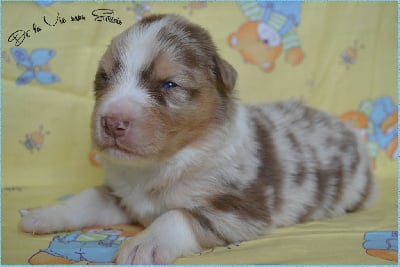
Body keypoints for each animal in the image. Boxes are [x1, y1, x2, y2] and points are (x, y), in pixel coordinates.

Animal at [19, 15, 376, 266]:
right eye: (104, 77)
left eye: (169, 84)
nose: (112, 122)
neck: (160, 166)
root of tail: (349, 130)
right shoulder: (122, 194)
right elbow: (86, 198)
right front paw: (44, 214)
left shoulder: (239, 209)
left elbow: (177, 215)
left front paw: (143, 244)